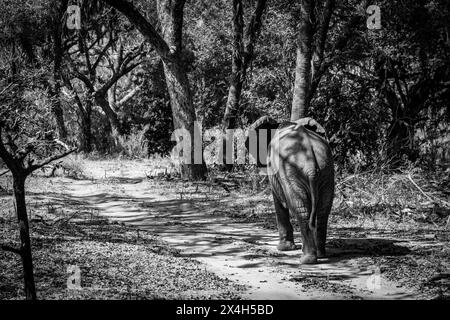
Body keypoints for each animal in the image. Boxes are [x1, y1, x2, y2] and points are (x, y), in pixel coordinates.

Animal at [246, 116, 334, 264]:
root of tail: (311, 165)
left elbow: (278, 201)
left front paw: (283, 249)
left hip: (291, 171)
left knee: (300, 208)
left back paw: (306, 259)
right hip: (326, 168)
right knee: (323, 210)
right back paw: (320, 254)